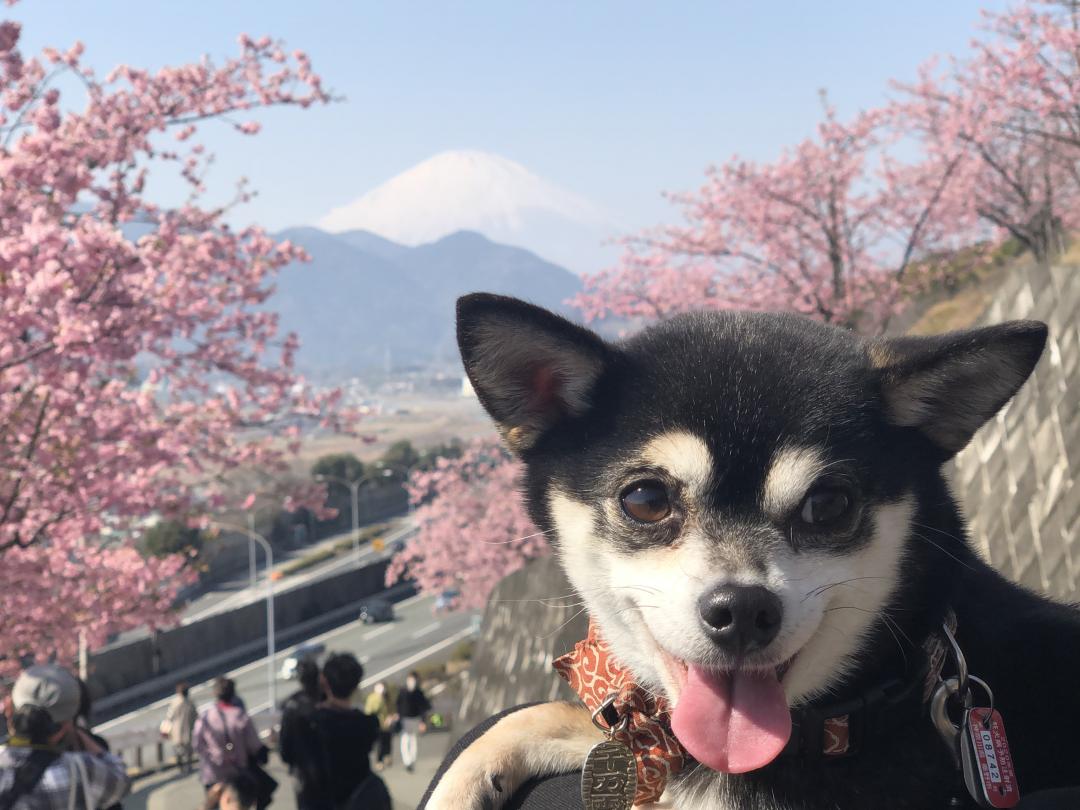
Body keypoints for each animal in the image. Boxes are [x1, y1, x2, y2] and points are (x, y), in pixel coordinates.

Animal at [425, 293, 1080, 810]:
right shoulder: (662, 746)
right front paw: (460, 783)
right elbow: (540, 716)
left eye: (828, 504)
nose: (742, 609)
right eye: (645, 499)